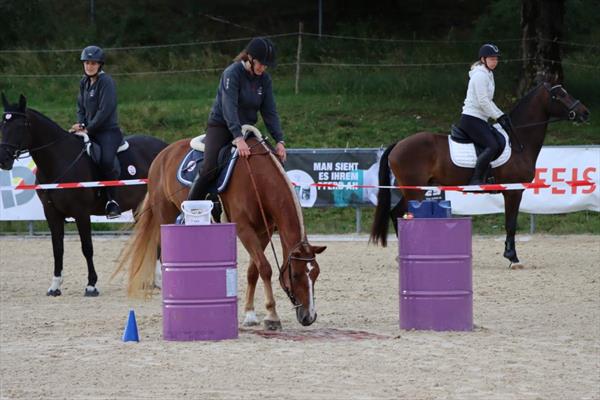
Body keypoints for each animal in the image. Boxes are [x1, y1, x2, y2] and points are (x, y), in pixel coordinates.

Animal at [0, 94, 168, 296]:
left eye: (19, 126)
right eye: (2, 125)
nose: (3, 159)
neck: (60, 160)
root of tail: (166, 146)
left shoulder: (81, 213)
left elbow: (87, 247)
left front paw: (91, 285)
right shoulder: (51, 213)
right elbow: (57, 248)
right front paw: (55, 286)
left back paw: (159, 280)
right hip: (140, 207)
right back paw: (153, 281)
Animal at [114, 128, 326, 330]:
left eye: (316, 274)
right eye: (296, 275)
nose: (309, 317)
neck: (258, 180)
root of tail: (163, 154)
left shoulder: (263, 231)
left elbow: (254, 270)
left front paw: (250, 314)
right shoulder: (244, 229)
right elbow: (265, 268)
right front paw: (271, 316)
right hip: (164, 216)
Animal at [370, 83, 589, 267]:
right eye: (561, 95)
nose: (585, 113)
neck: (519, 140)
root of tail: (398, 144)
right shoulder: (514, 192)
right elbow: (511, 224)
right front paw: (512, 258)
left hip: (412, 189)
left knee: (397, 213)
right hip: (414, 190)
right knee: (404, 215)